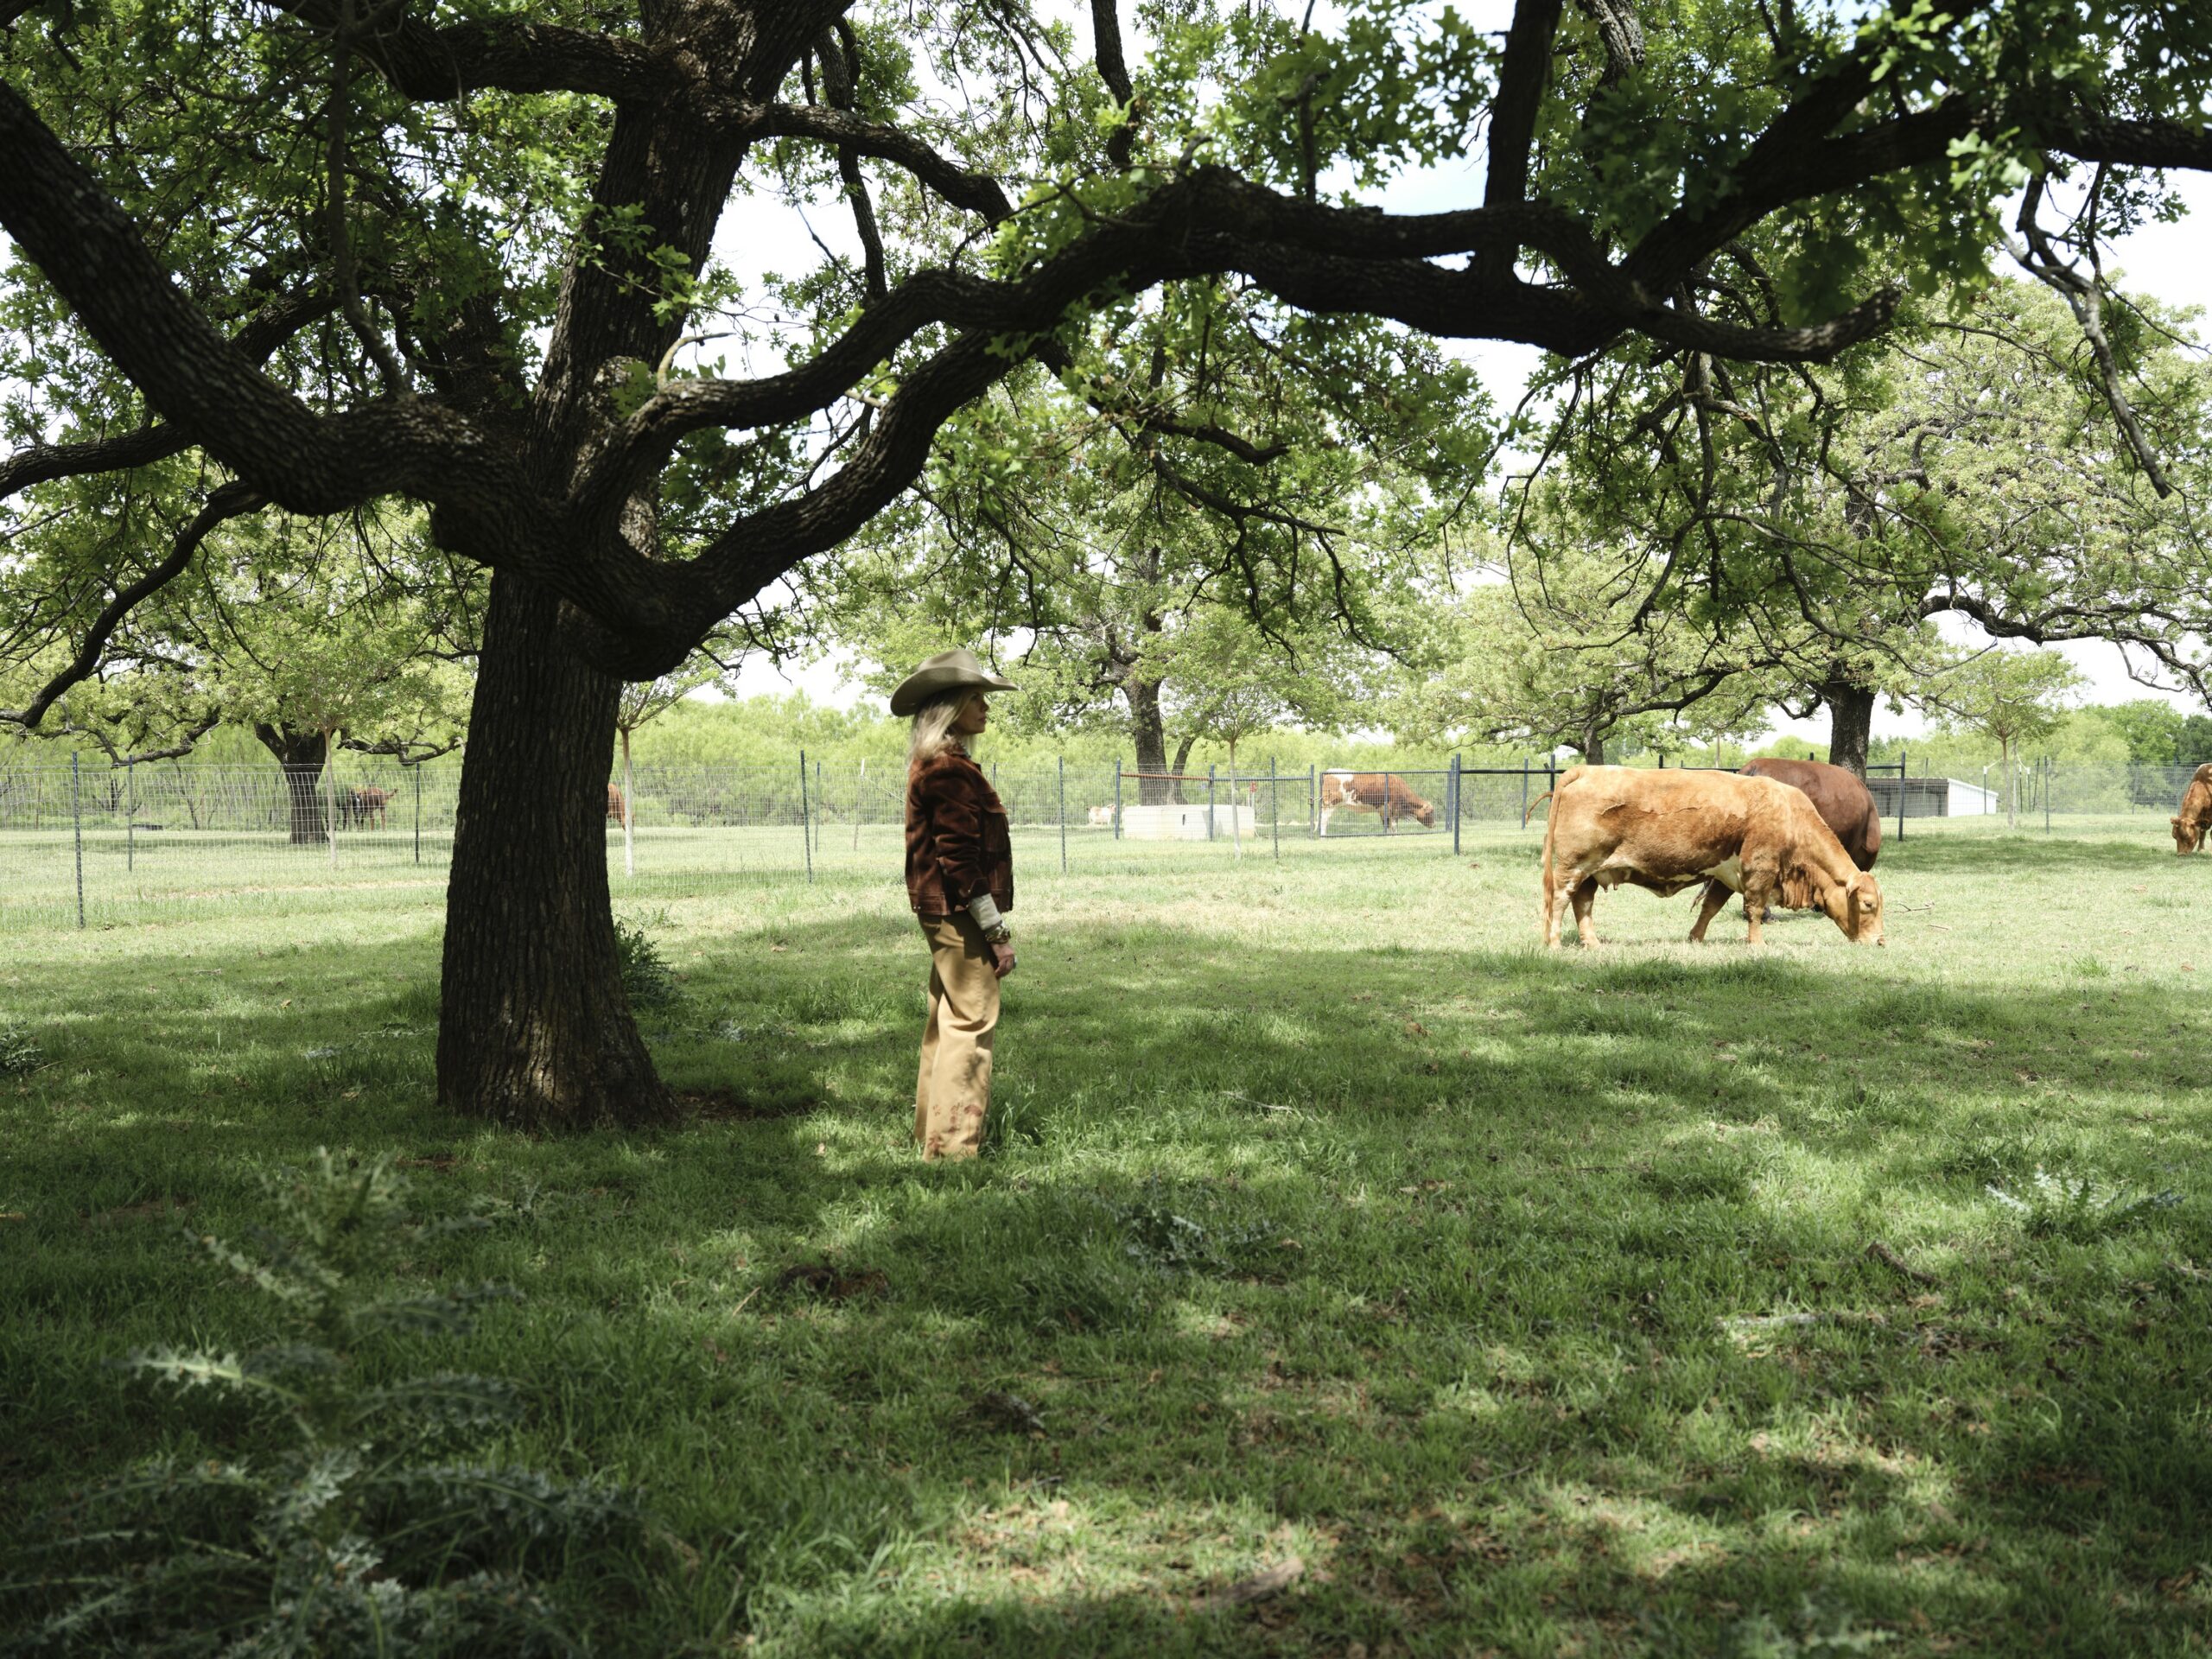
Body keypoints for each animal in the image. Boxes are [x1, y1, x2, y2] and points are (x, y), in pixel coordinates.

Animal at [1319, 770, 1437, 835]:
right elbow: (1394, 825)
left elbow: (1387, 825)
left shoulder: (1383, 811)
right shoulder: (1394, 808)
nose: (1434, 825)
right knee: (1324, 820)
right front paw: (1396, 835)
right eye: (1430, 812)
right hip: (1330, 804)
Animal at [1532, 765, 1884, 948]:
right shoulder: (1760, 871)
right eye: (1868, 904)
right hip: (1573, 867)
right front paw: (1757, 945)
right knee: (1561, 901)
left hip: (1591, 872)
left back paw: (1592, 944)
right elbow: (1755, 910)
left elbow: (1710, 907)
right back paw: (1554, 943)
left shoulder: (1725, 875)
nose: (1880, 941)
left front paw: (1695, 938)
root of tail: (1585, 769)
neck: (1789, 815)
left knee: (1583, 904)